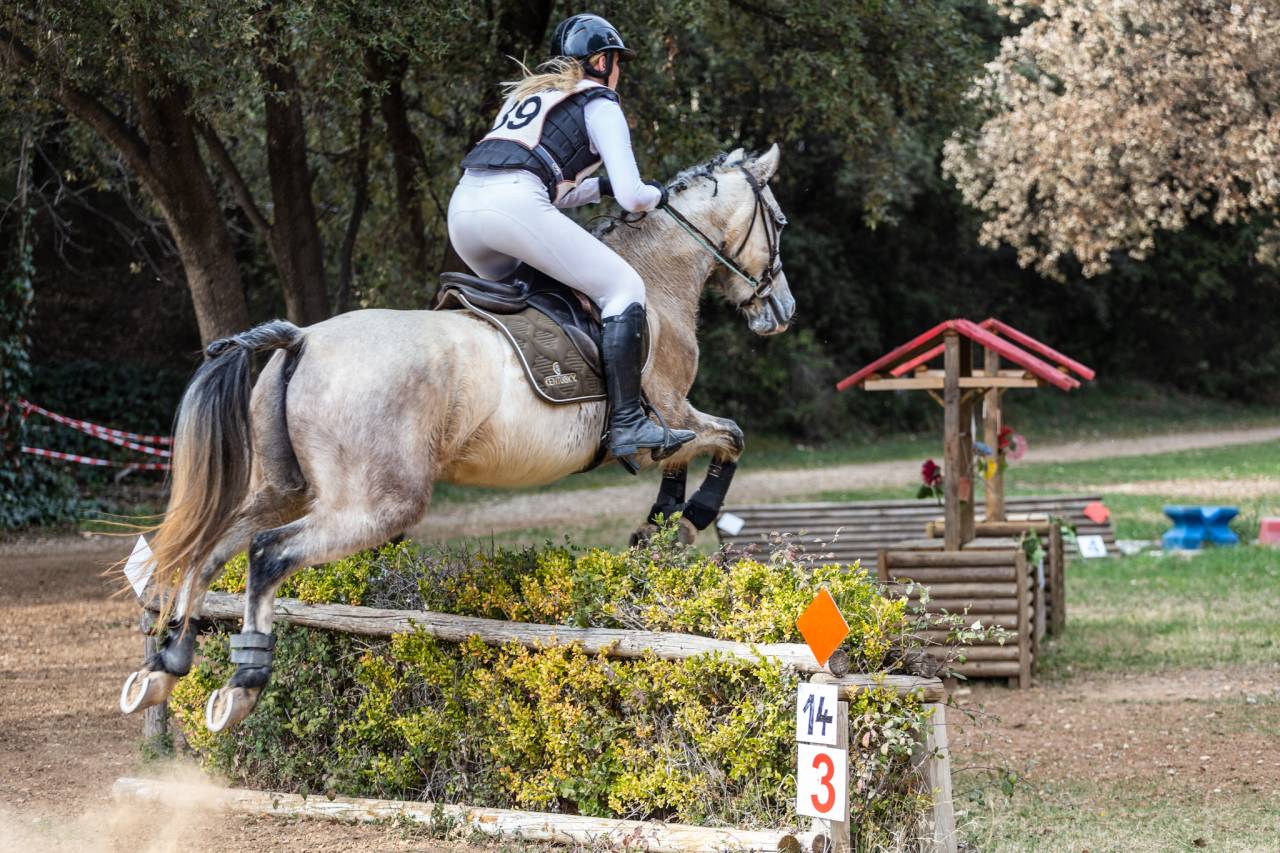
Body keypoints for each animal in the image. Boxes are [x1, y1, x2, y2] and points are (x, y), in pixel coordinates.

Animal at [118, 145, 796, 733]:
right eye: (781, 222)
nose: (783, 311)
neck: (653, 281)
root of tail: (302, 339)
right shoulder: (669, 412)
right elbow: (729, 438)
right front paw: (694, 515)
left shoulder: (674, 421)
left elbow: (693, 454)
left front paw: (661, 526)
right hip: (377, 505)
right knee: (266, 554)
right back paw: (242, 684)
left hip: (283, 488)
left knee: (210, 550)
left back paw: (164, 666)